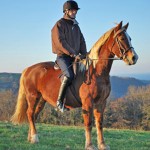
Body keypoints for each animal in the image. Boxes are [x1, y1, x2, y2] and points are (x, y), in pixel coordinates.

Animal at [11, 21, 138, 150]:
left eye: (130, 38)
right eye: (122, 38)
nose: (134, 58)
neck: (95, 71)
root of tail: (28, 69)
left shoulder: (101, 102)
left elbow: (99, 123)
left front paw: (102, 144)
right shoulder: (87, 103)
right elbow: (88, 124)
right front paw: (89, 145)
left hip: (42, 99)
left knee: (34, 116)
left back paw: (31, 138)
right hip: (32, 97)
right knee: (30, 114)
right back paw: (35, 138)